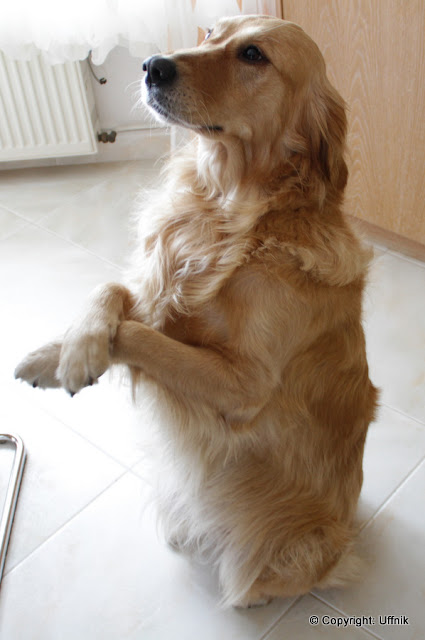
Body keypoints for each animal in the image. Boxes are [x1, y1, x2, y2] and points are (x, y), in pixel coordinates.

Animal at [15, 15, 378, 608]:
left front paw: (75, 359)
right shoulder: (153, 283)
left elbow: (139, 336)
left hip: (302, 547)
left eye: (253, 54)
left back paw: (249, 589)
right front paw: (65, 348)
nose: (151, 66)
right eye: (210, 35)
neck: (228, 207)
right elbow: (111, 291)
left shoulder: (245, 384)